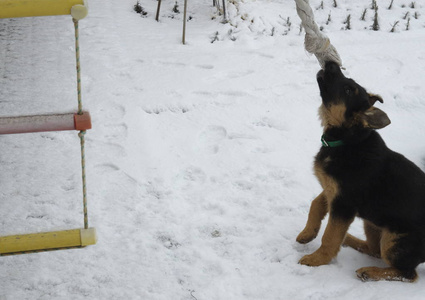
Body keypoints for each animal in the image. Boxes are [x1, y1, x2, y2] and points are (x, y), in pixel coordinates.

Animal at [296, 60, 424, 282]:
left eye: (348, 90)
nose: (331, 64)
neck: (347, 140)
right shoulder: (332, 191)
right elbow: (315, 205)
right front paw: (308, 233)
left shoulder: (343, 203)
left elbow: (330, 236)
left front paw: (317, 259)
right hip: (371, 224)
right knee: (374, 250)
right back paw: (349, 239)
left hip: (393, 240)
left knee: (407, 273)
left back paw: (370, 271)